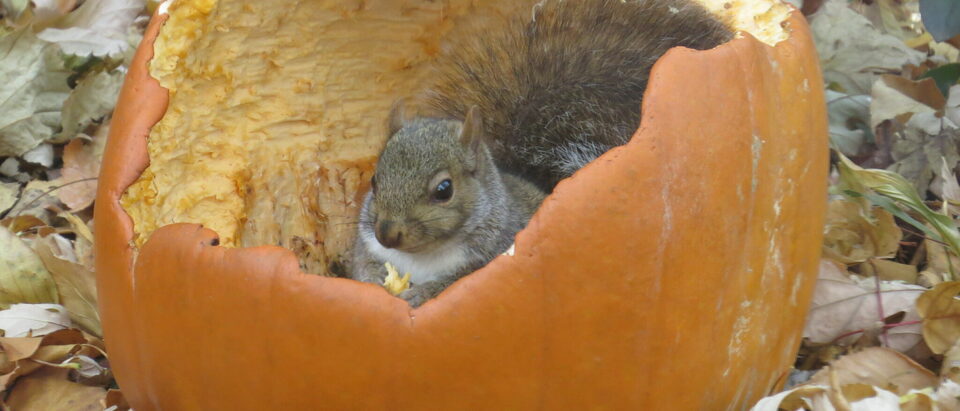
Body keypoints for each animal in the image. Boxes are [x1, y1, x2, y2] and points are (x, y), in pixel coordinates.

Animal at [350, 0, 733, 306]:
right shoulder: (365, 243)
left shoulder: (490, 258)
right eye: (375, 180)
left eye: (444, 190)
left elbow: (453, 283)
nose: (388, 234)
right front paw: (375, 280)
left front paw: (420, 293)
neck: (421, 257)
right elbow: (361, 263)